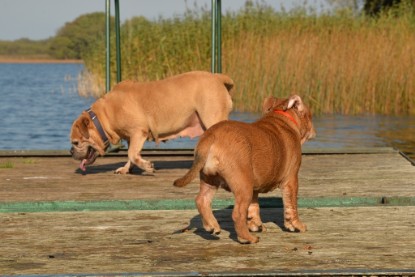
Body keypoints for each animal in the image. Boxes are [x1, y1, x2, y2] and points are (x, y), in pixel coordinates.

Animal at [71, 71, 234, 175]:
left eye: (76, 143)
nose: (71, 151)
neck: (103, 116)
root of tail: (217, 78)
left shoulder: (138, 131)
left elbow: (132, 153)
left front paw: (147, 167)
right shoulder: (131, 137)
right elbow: (132, 153)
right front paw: (126, 169)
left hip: (212, 118)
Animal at [175, 94, 316, 242]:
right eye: (310, 116)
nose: (314, 130)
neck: (280, 115)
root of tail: (212, 136)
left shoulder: (254, 185)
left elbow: (254, 207)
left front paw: (256, 225)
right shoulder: (291, 179)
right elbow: (291, 205)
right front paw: (297, 225)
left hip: (210, 179)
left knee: (202, 200)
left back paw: (212, 226)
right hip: (243, 184)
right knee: (237, 213)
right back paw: (247, 238)